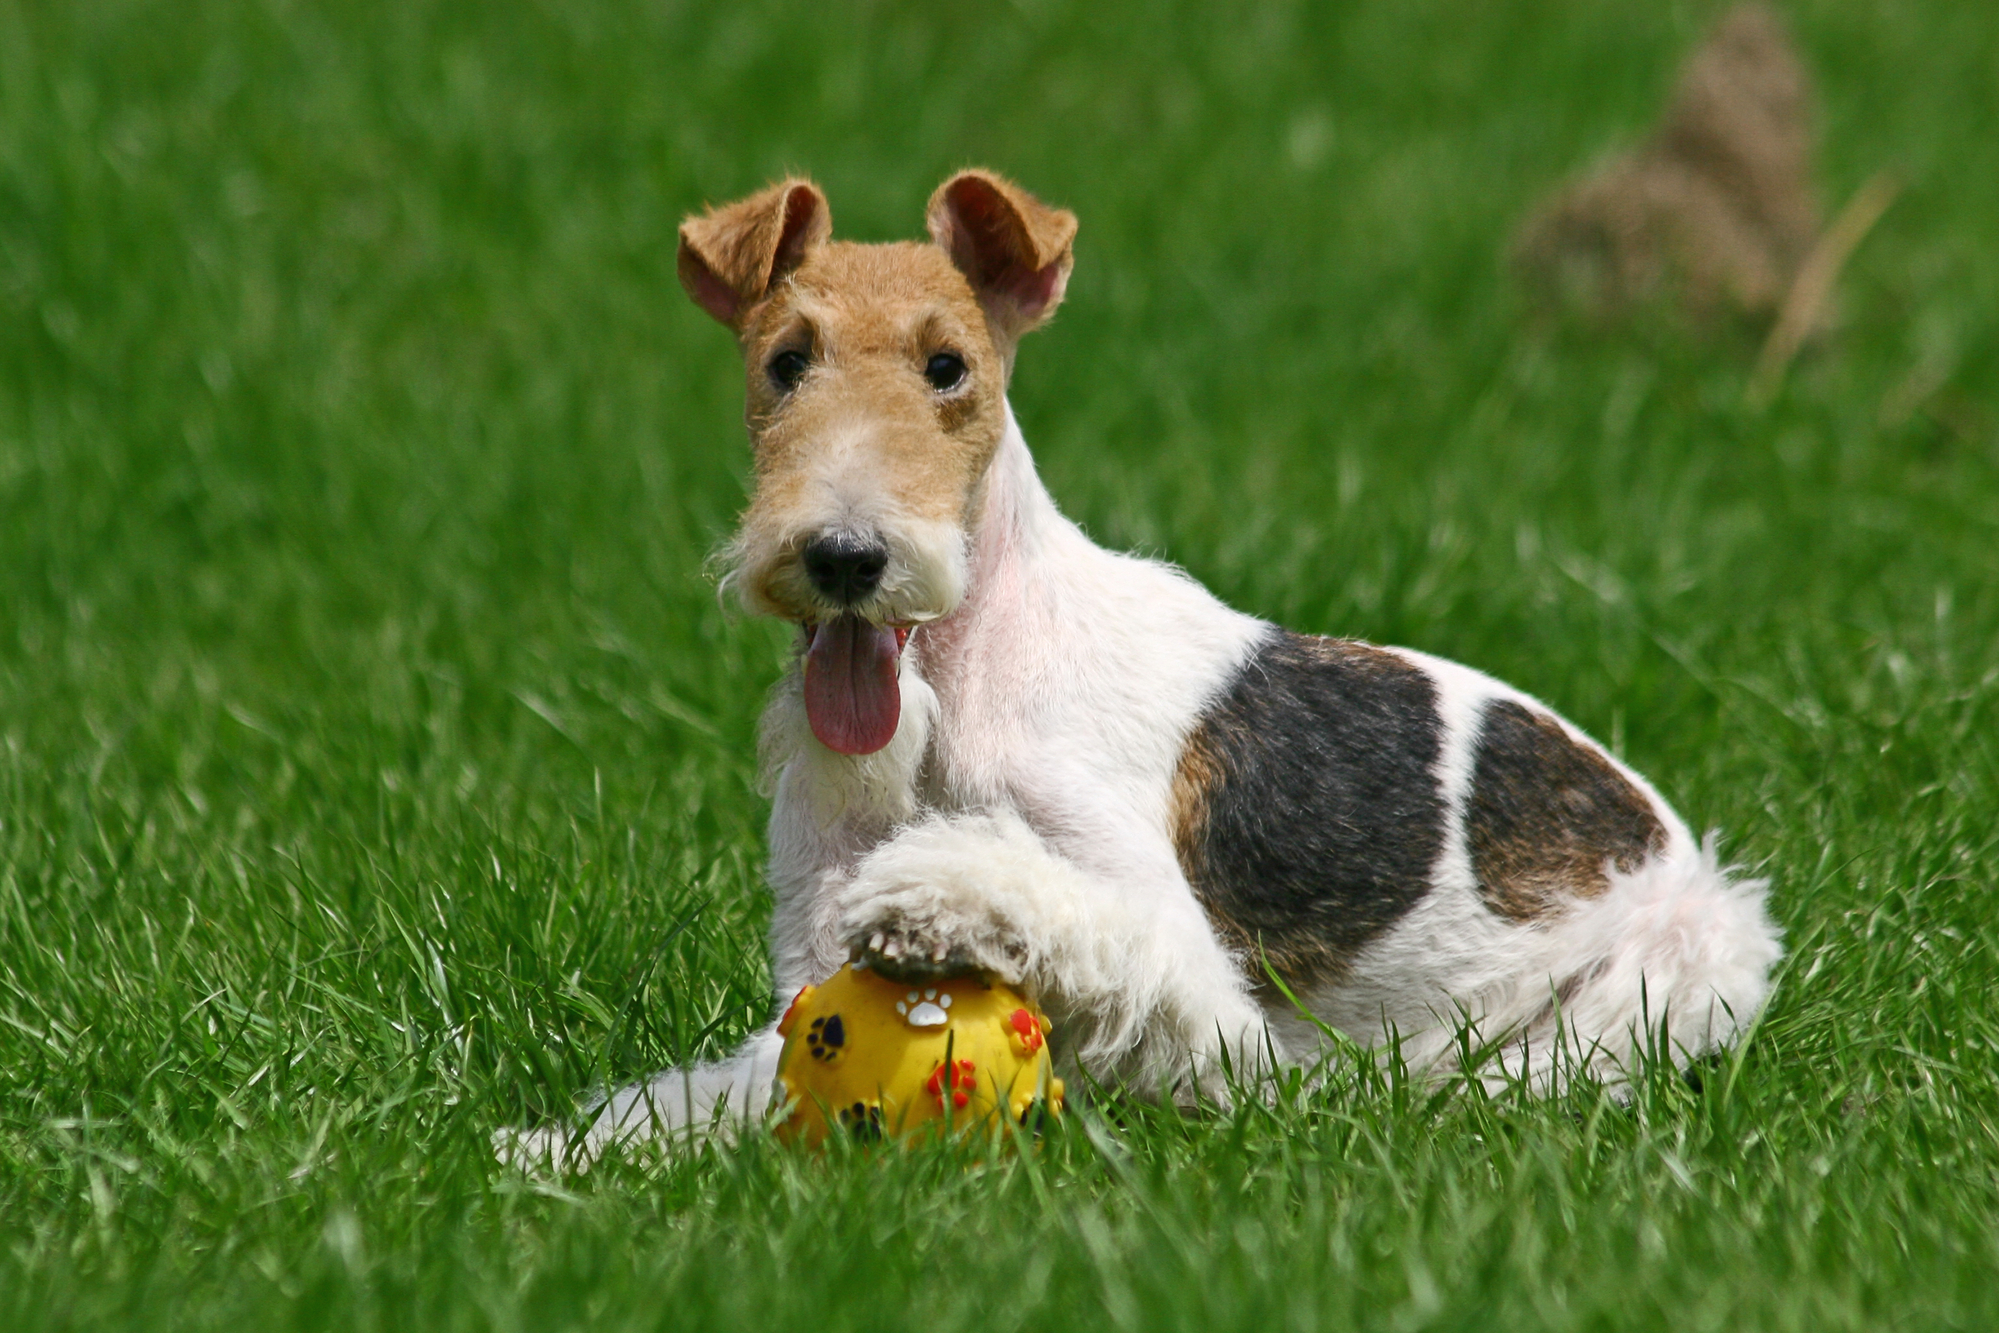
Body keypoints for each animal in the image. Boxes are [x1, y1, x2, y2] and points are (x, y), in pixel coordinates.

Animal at [499, 171, 1783, 1159]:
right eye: (784, 361)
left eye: (949, 366)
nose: (845, 556)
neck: (952, 697)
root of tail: (1665, 832)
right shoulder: (806, 972)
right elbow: (723, 1088)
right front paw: (553, 1152)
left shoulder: (1210, 1005)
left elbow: (1072, 914)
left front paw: (936, 892)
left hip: (1678, 969)